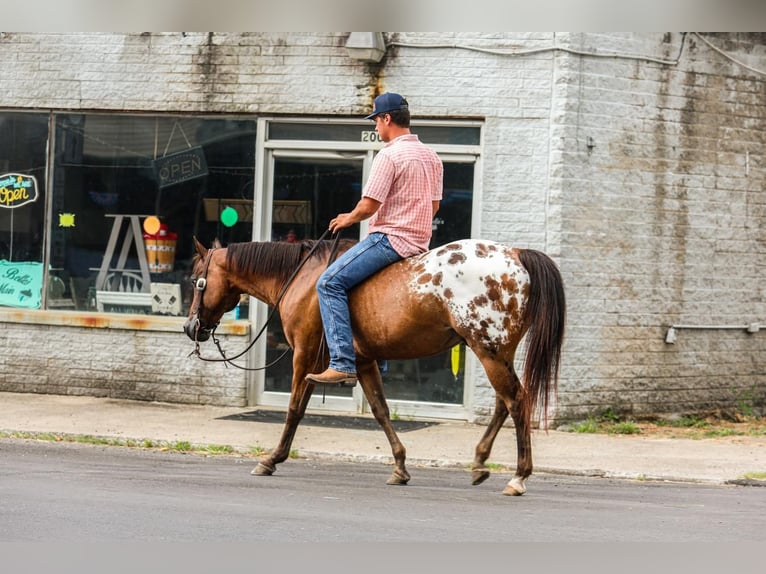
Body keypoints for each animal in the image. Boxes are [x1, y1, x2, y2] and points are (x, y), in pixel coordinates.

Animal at [184, 236, 568, 498]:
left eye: (195, 279)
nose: (190, 327)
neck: (301, 279)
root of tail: (516, 254)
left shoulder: (304, 356)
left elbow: (293, 410)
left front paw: (271, 459)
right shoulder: (361, 361)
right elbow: (381, 411)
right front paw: (399, 466)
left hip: (489, 350)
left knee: (516, 401)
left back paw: (518, 476)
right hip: (494, 352)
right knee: (506, 403)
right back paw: (480, 462)